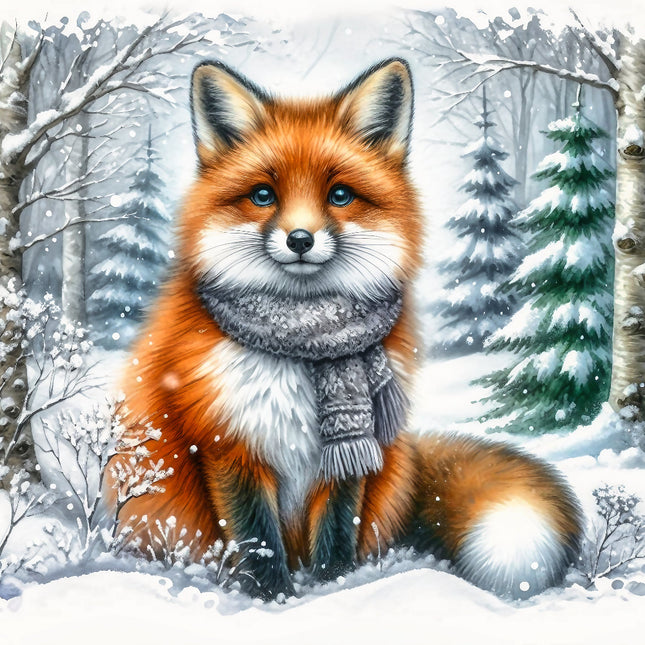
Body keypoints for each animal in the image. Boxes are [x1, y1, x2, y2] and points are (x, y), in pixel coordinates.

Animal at [104, 58, 583, 601]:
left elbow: (336, 530)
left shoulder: (352, 457)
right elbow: (256, 539)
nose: (299, 239)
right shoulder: (227, 442)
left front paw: (335, 591)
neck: (298, 343)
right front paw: (272, 599)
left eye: (339, 195)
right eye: (263, 195)